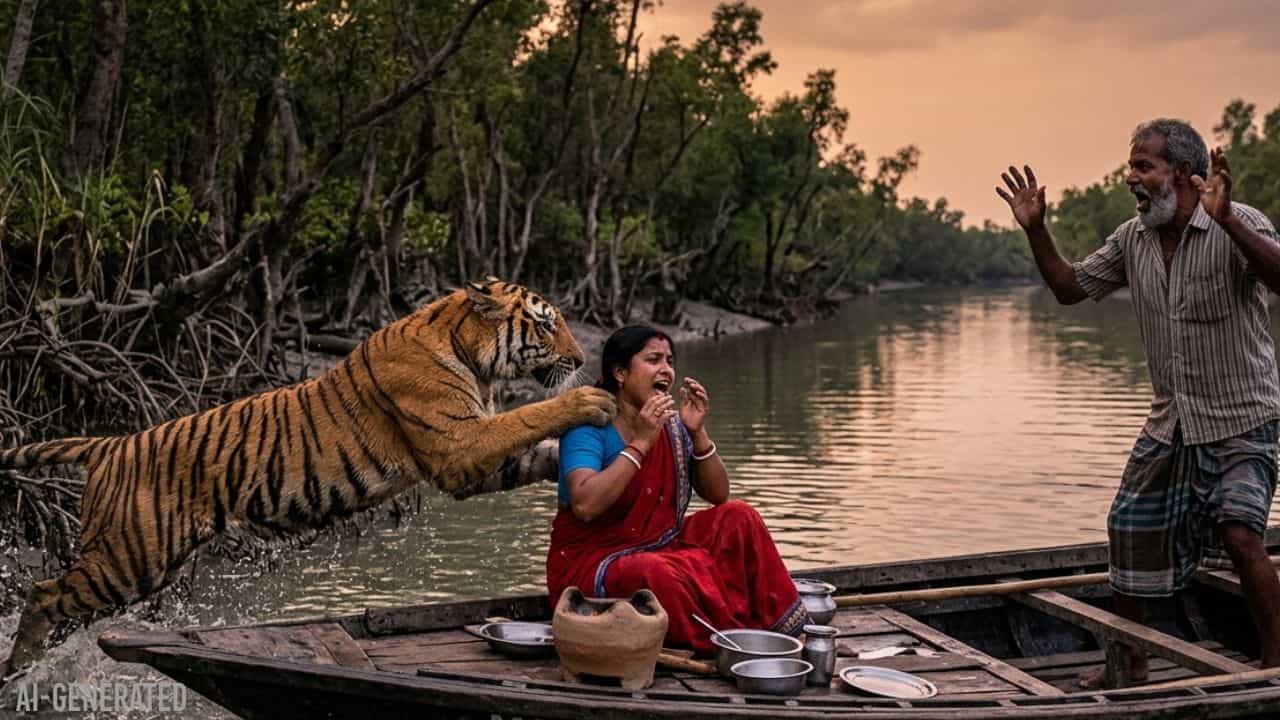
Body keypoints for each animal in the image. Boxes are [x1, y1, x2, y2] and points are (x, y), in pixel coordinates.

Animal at [0, 279, 615, 673]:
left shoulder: (477, 460)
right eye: (546, 325)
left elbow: (538, 449)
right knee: (43, 593)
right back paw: (17, 669)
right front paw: (590, 400)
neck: (472, 353)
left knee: (65, 607)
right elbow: (529, 415)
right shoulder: (460, 445)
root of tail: (112, 442)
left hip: (136, 567)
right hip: (129, 559)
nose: (582, 357)